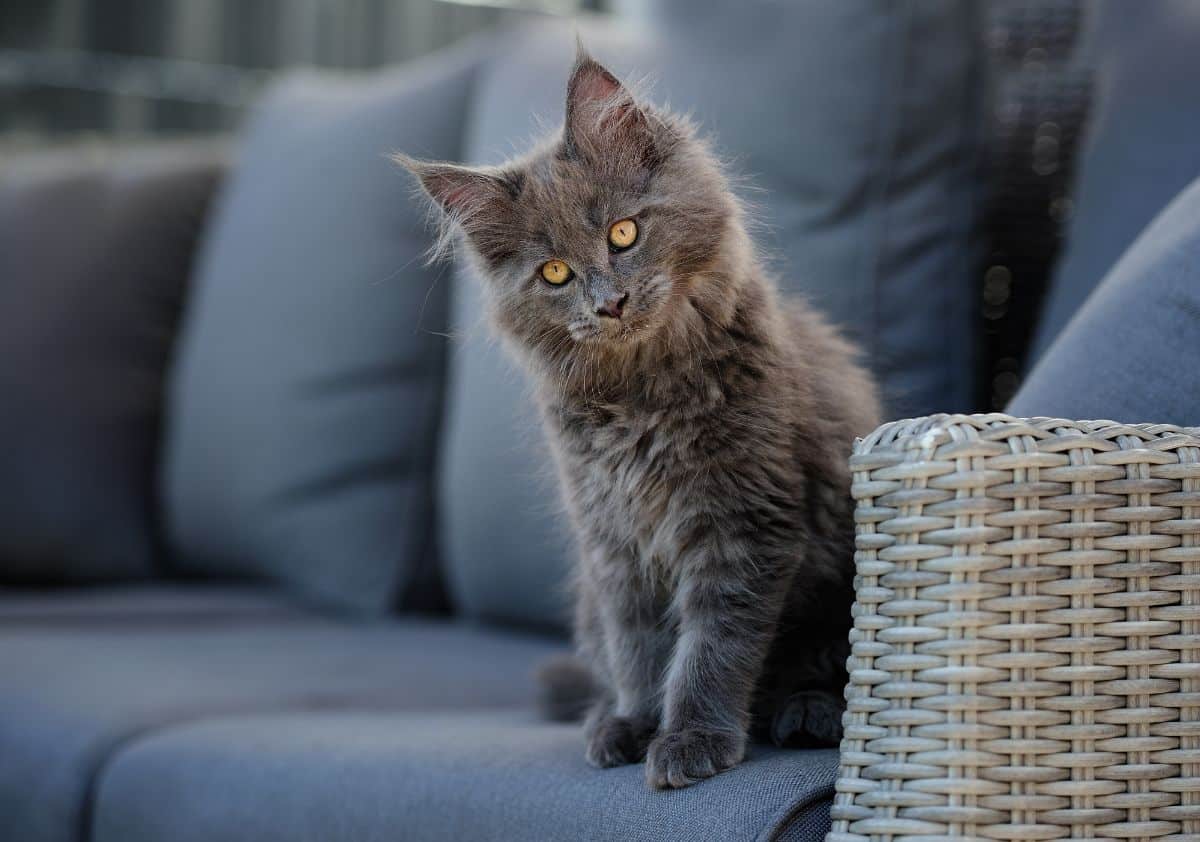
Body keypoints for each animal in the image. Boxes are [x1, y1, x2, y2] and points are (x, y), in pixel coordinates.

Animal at [398, 50, 878, 791]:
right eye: (555, 273)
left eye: (623, 233)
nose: (610, 303)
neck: (642, 395)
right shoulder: (614, 543)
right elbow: (641, 649)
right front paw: (635, 722)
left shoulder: (744, 525)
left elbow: (711, 647)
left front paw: (690, 739)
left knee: (820, 669)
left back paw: (806, 713)